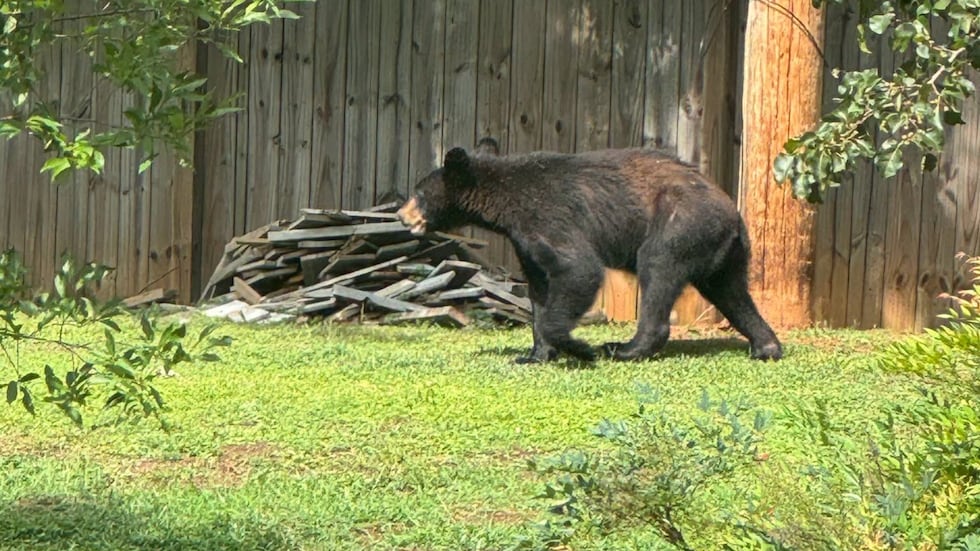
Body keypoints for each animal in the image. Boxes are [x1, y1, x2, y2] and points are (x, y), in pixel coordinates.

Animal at [397, 138, 782, 363]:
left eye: (419, 192)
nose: (402, 215)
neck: (506, 204)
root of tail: (732, 214)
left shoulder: (549, 217)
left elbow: (578, 269)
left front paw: (579, 347)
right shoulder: (523, 239)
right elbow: (539, 286)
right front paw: (535, 354)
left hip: (680, 223)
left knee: (658, 269)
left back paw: (625, 348)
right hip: (721, 250)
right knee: (731, 292)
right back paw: (765, 346)